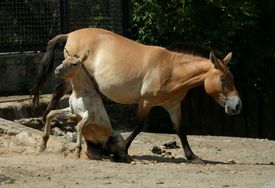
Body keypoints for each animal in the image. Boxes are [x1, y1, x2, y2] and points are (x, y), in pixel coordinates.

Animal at [32, 27, 243, 163]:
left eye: (232, 77)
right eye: (223, 79)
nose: (237, 106)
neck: (171, 69)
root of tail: (70, 34)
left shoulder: (173, 106)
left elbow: (181, 129)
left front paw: (192, 156)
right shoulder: (146, 102)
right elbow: (138, 126)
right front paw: (121, 151)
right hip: (74, 75)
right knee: (58, 90)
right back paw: (45, 123)